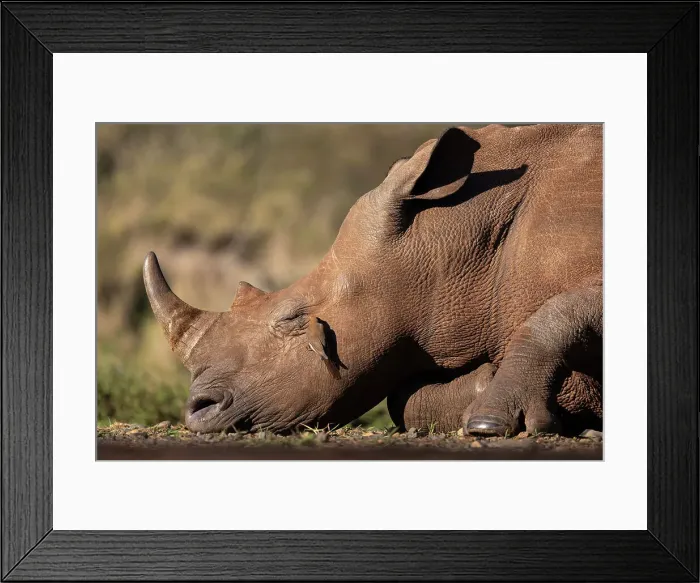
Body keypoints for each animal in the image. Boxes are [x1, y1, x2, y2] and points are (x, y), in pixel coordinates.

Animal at [143, 124, 602, 437]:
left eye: (293, 318)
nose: (198, 409)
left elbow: (562, 311)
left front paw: (490, 424)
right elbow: (402, 398)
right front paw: (495, 385)